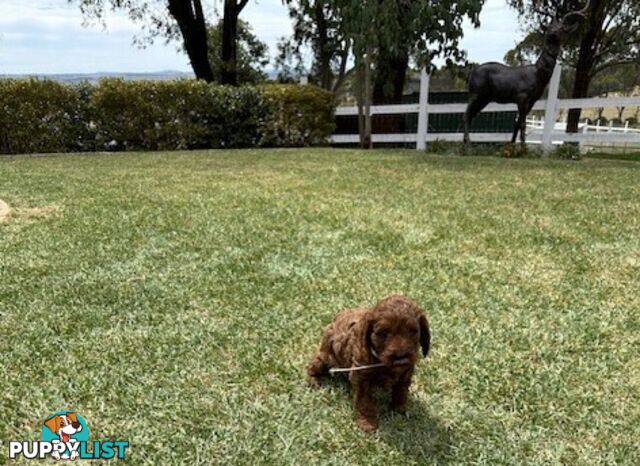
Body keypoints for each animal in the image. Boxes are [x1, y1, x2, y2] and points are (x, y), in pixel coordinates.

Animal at [306, 296, 430, 432]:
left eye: (413, 331)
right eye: (383, 333)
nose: (401, 357)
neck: (381, 362)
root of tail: (337, 317)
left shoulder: (406, 372)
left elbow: (401, 390)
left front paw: (400, 409)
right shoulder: (361, 376)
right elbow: (364, 401)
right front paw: (367, 423)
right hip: (327, 355)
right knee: (314, 365)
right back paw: (314, 380)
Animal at [460, 2, 592, 145]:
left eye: (562, 28)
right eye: (549, 27)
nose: (553, 33)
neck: (538, 75)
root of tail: (471, 74)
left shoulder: (532, 100)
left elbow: (517, 123)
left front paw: (512, 144)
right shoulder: (522, 97)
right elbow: (522, 123)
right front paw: (523, 146)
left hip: (485, 98)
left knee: (471, 115)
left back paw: (466, 141)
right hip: (476, 93)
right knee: (466, 114)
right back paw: (468, 142)